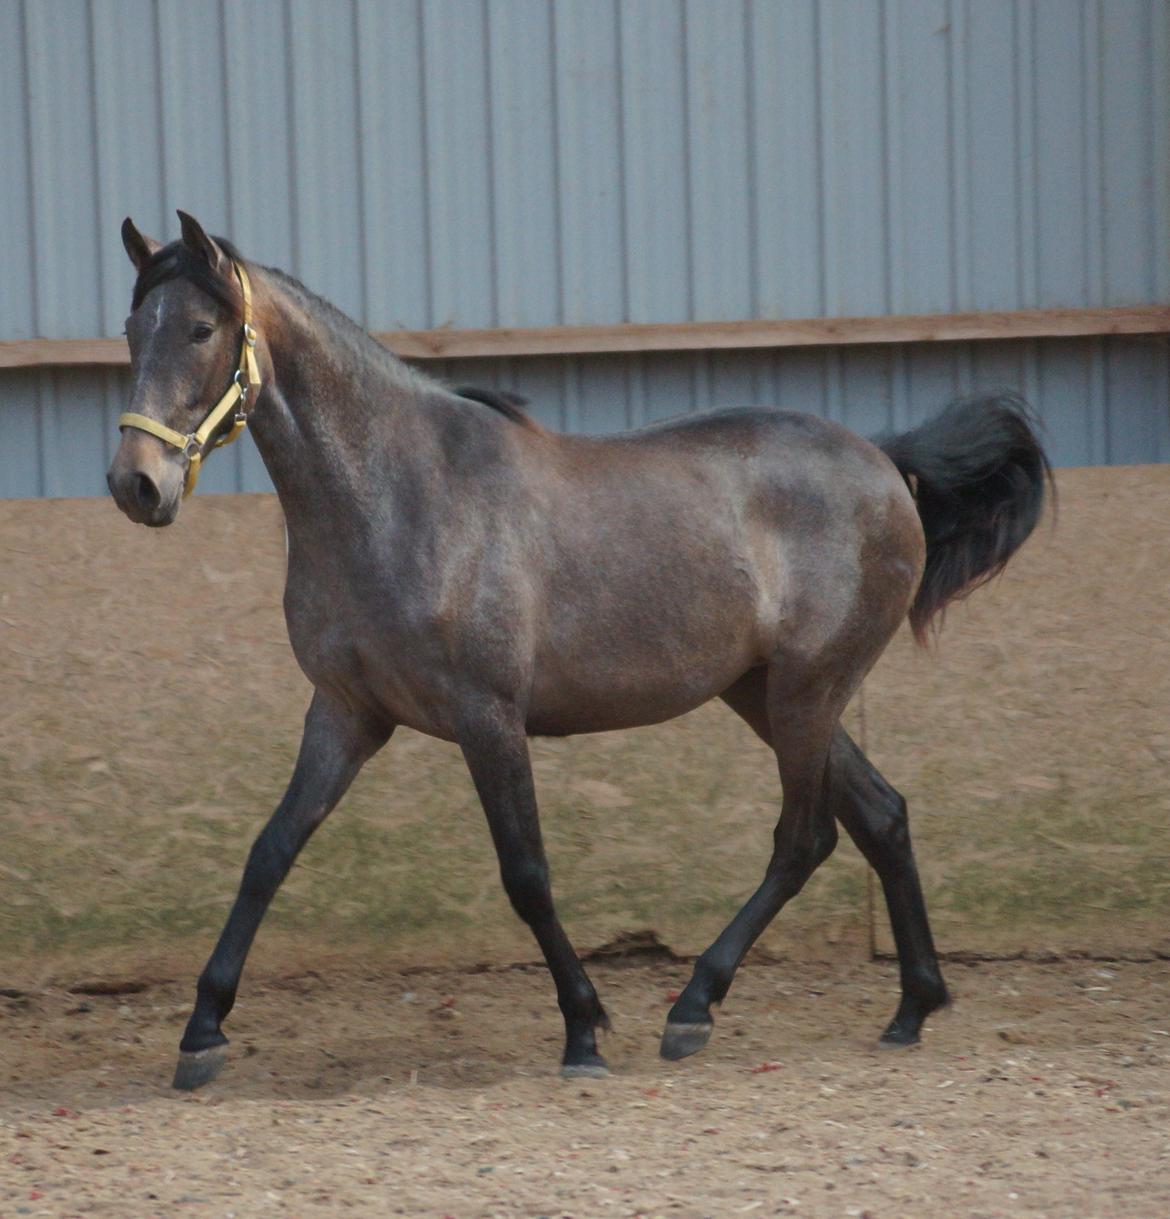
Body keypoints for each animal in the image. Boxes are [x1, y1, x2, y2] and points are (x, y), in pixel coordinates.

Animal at [107, 207, 1053, 1087]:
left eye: (201, 329)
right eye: (131, 328)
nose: (135, 486)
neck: (396, 496)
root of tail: (887, 463)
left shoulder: (488, 718)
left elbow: (526, 873)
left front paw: (584, 1029)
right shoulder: (346, 714)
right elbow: (268, 853)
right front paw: (201, 1032)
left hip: (807, 690)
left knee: (805, 836)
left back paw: (695, 1007)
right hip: (766, 691)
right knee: (880, 815)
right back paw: (911, 1007)